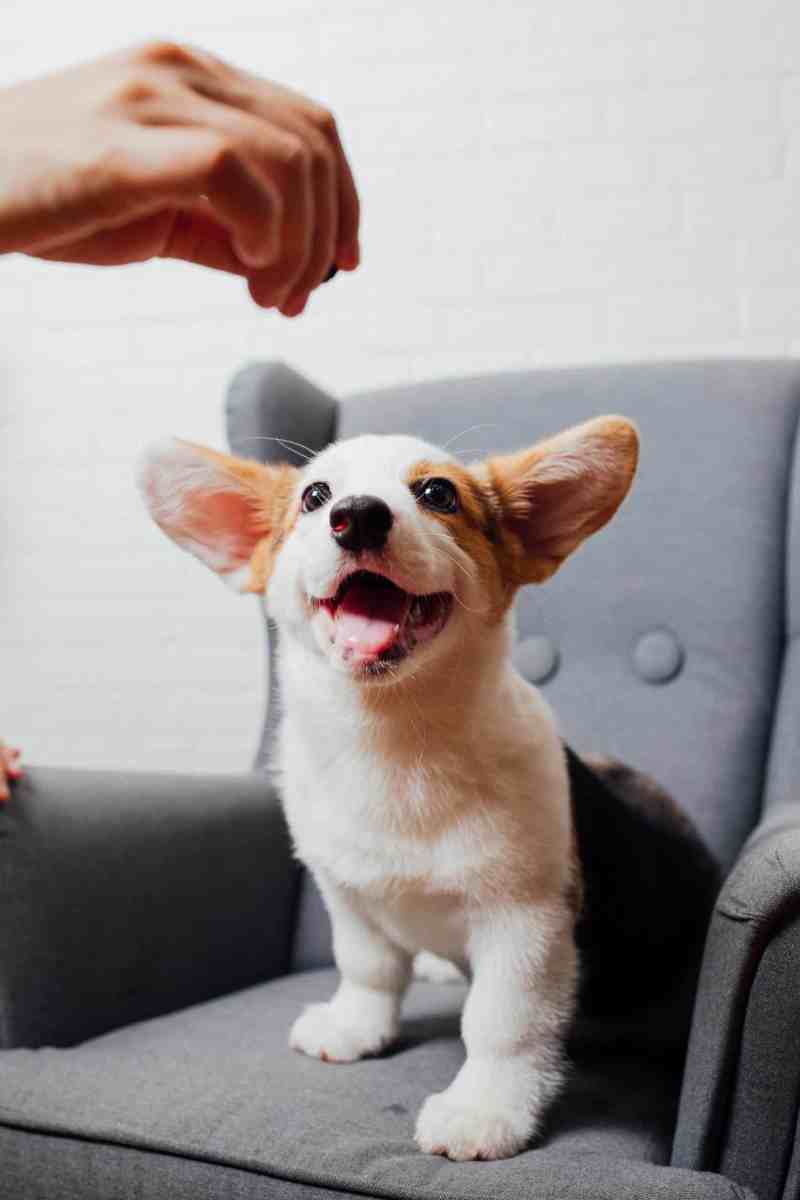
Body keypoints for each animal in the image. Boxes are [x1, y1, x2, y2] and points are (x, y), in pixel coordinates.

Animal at [137, 415, 638, 1161]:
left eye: (438, 494)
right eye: (315, 495)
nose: (357, 516)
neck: (393, 740)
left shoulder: (525, 919)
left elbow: (503, 1022)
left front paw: (484, 1109)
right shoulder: (348, 895)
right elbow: (368, 967)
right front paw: (354, 1027)